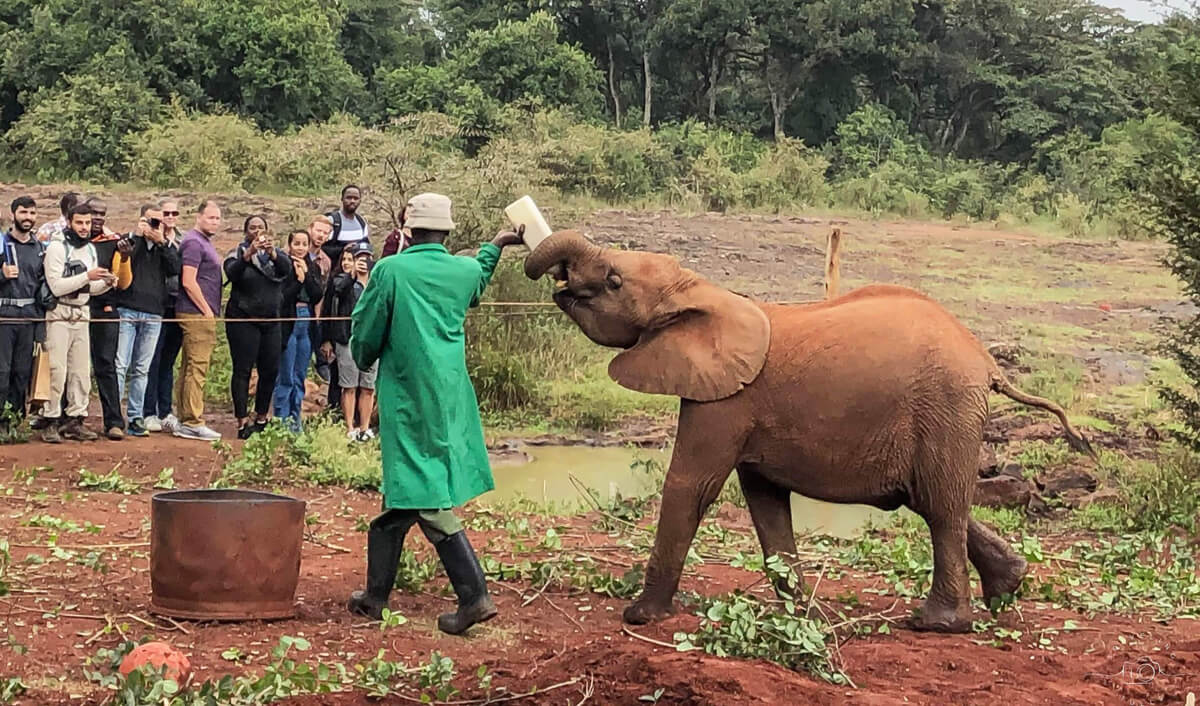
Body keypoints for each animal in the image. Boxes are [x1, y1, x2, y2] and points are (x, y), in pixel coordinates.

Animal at [523, 230, 1095, 633]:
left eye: (614, 281)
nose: (549, 270)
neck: (701, 288)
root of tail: (987, 361)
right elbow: (765, 503)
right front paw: (800, 618)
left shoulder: (725, 401)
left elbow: (691, 485)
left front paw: (641, 617)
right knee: (928, 499)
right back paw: (1008, 589)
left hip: (946, 408)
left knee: (940, 506)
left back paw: (936, 624)